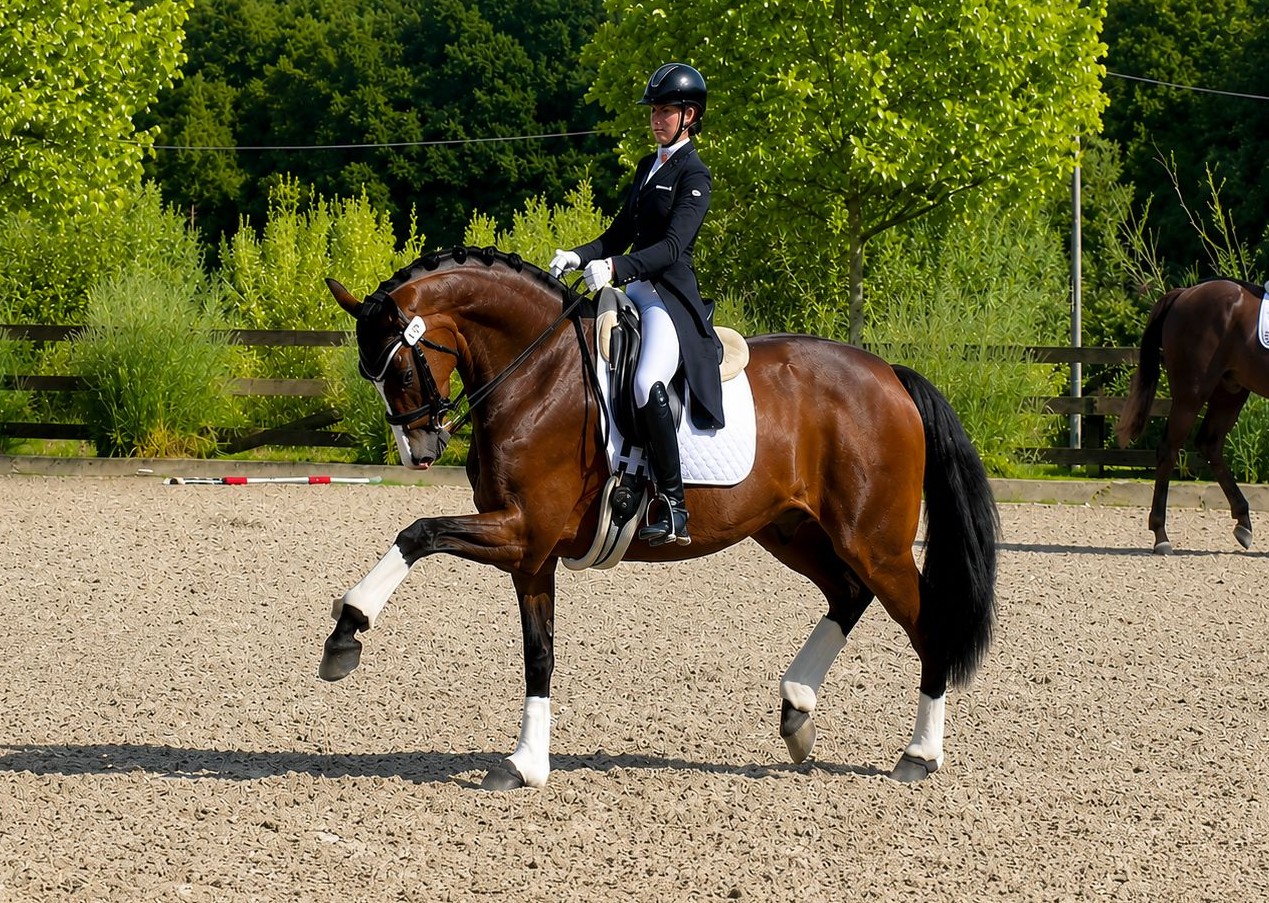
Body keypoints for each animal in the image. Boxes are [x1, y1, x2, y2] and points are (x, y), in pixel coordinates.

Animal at [318, 245, 999, 790]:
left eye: (398, 368)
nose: (419, 451)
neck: (538, 375)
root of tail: (889, 375)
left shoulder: (522, 531)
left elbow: (418, 533)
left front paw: (346, 632)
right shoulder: (530, 554)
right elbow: (539, 653)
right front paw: (526, 764)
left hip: (873, 539)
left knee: (924, 622)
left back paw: (919, 755)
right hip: (792, 531)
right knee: (848, 593)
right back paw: (798, 710)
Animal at [1116, 277, 1269, 554]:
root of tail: (1185, 293)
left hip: (1229, 391)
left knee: (1209, 444)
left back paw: (1243, 523)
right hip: (1192, 393)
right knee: (1169, 450)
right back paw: (1161, 536)